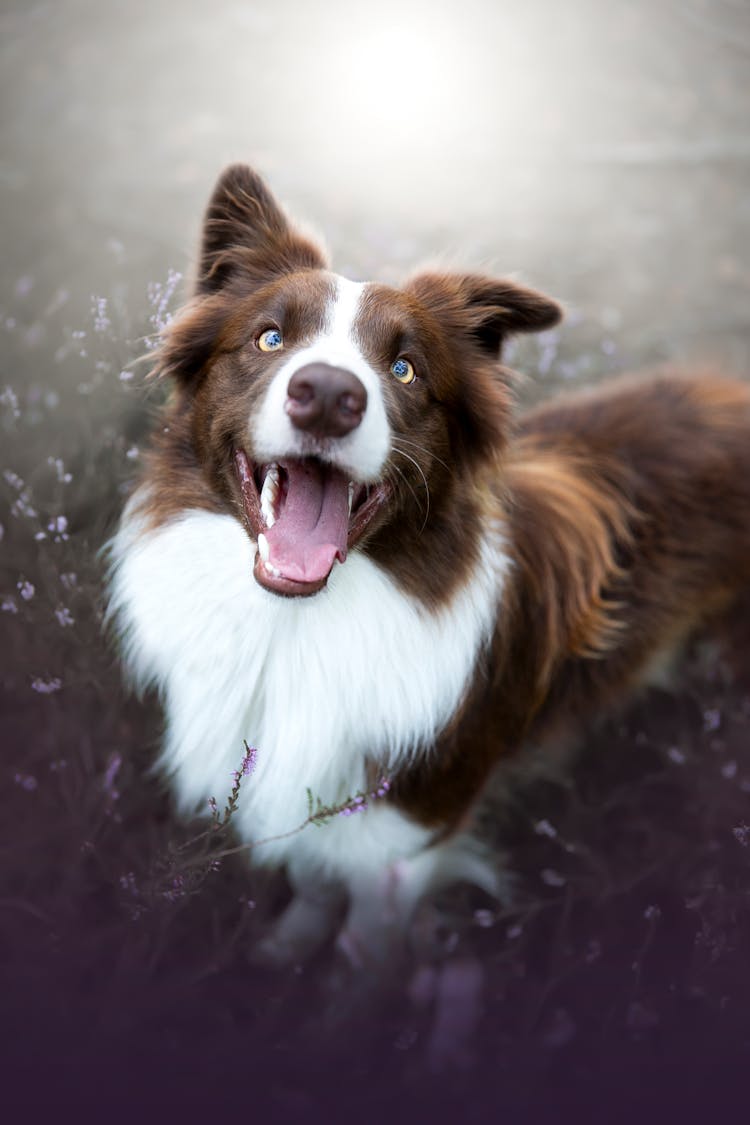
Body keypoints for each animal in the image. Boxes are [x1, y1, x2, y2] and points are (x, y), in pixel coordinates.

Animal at [108, 163, 750, 963]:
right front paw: (284, 956)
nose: (328, 394)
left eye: (406, 369)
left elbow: (364, 951)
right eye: (269, 337)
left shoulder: (403, 838)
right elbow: (312, 886)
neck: (301, 623)